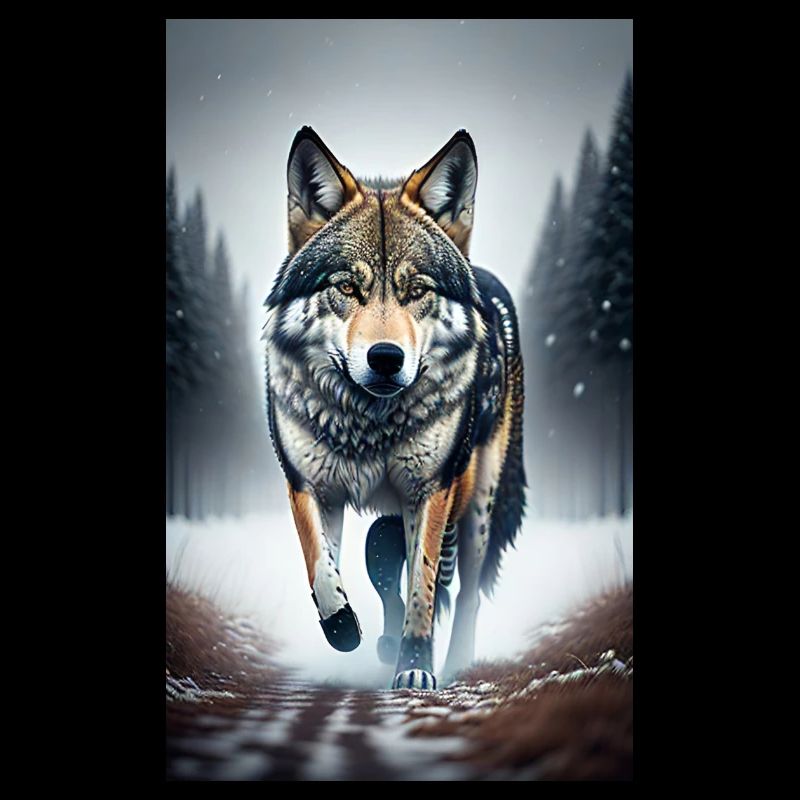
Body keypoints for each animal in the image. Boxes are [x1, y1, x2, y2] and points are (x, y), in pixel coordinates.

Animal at [263, 127, 525, 690]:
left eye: (416, 290)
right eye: (346, 286)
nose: (385, 358)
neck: (368, 424)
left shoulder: (432, 488)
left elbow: (422, 589)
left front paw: (415, 667)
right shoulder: (307, 483)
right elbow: (321, 564)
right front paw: (343, 626)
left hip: (478, 503)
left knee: (465, 592)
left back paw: (455, 663)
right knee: (383, 558)